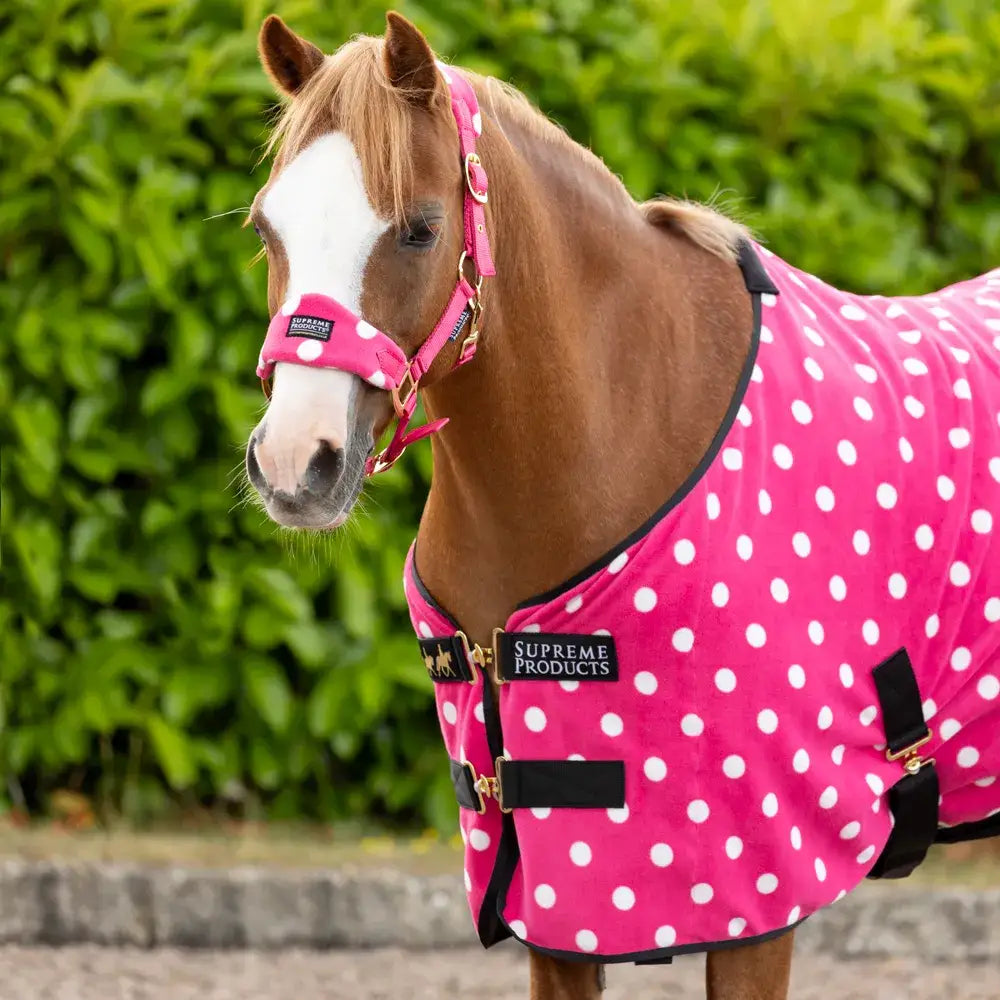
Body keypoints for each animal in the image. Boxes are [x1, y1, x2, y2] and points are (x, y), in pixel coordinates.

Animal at [244, 12, 1000, 999]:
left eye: (419, 229)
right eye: (267, 226)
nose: (295, 463)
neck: (621, 424)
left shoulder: (758, 892)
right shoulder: (555, 906)